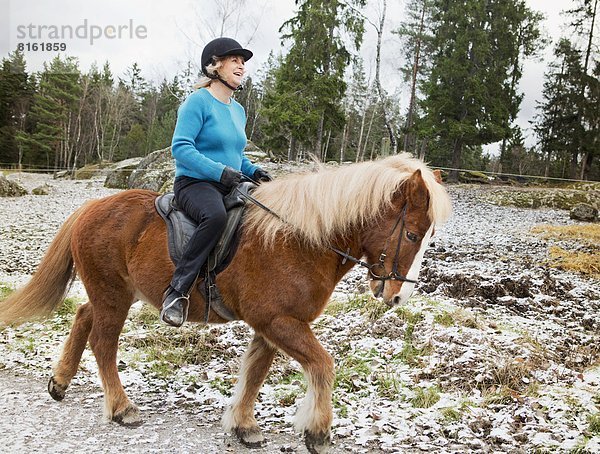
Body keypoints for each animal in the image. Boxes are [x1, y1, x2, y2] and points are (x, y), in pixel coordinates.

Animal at [0, 154, 450, 452]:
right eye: (412, 235)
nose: (397, 296)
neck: (299, 239)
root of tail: (92, 206)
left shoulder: (272, 326)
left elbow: (254, 374)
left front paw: (243, 425)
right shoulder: (279, 321)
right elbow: (322, 365)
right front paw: (318, 432)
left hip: (113, 291)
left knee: (82, 317)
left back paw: (60, 382)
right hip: (113, 295)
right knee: (103, 343)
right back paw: (121, 407)